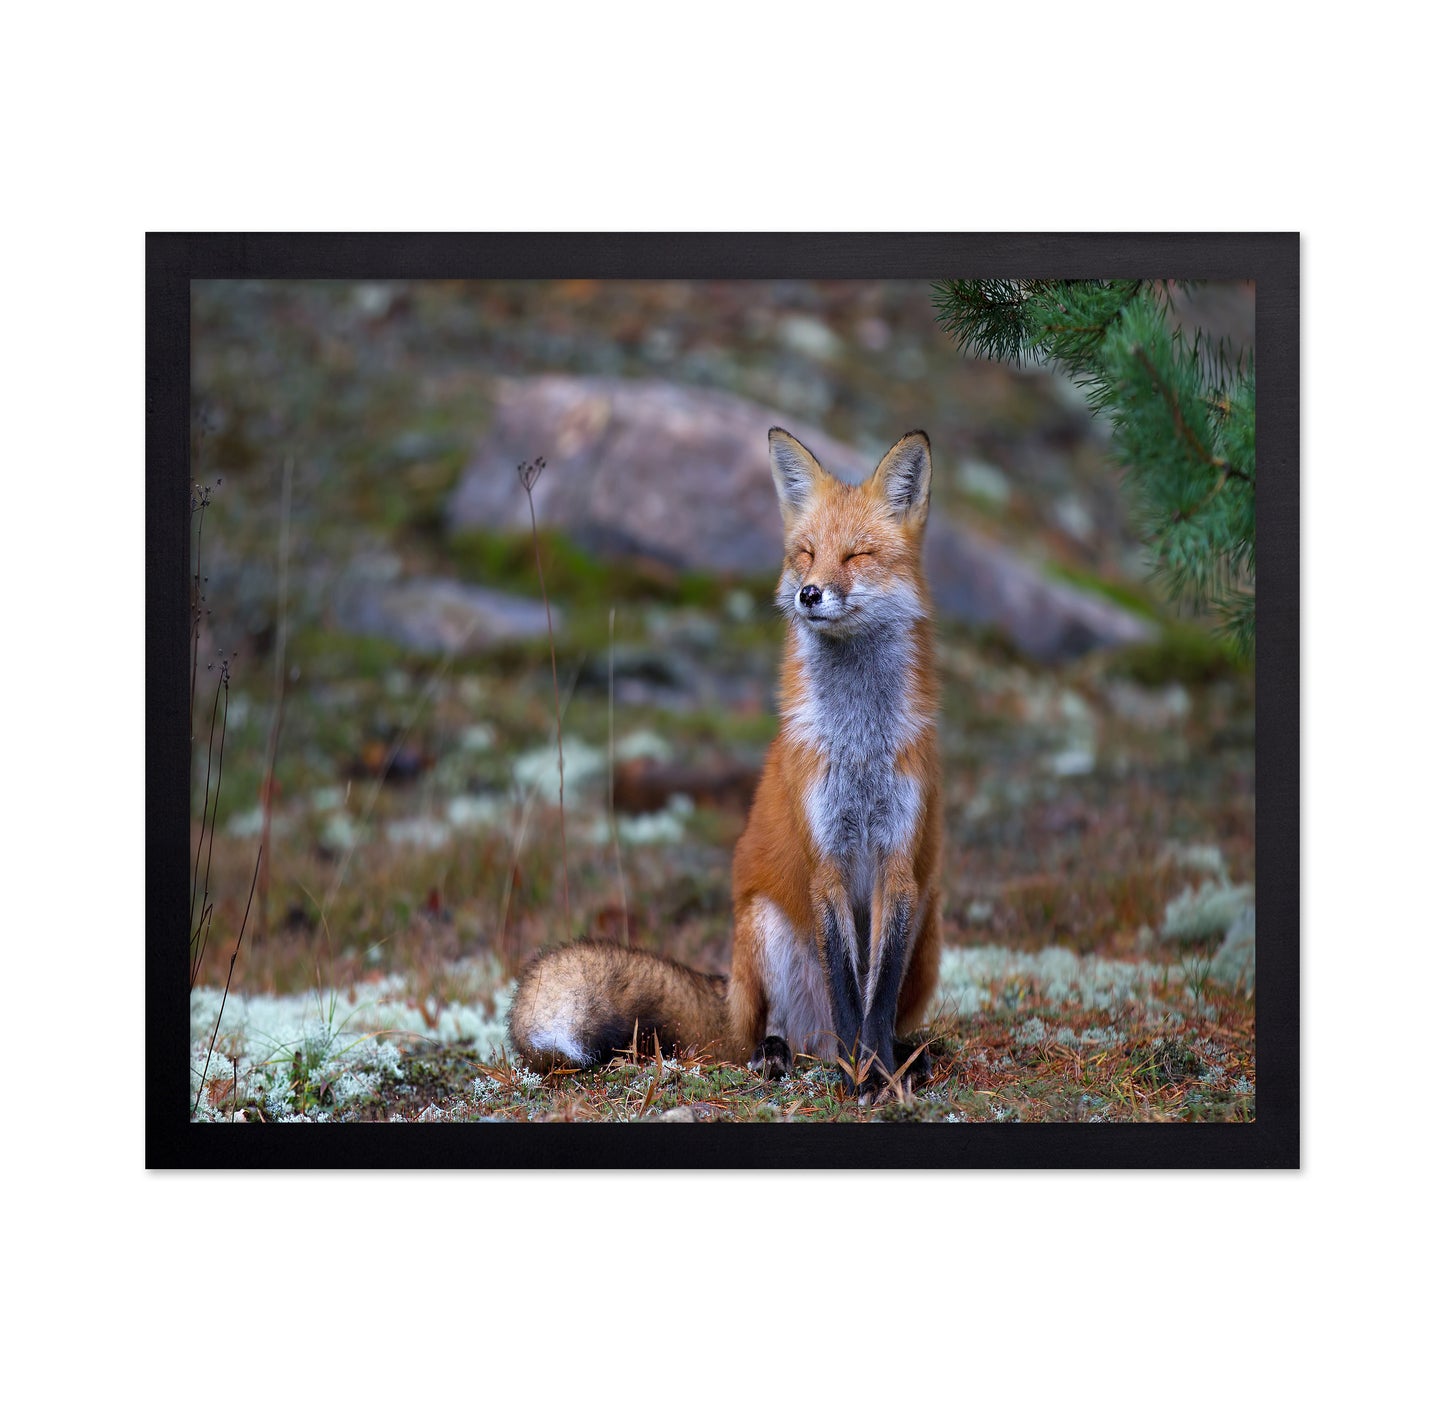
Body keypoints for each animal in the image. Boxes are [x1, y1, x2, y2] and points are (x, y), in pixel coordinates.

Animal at [509, 427, 942, 1099]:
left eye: (857, 556)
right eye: (806, 554)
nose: (809, 593)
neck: (858, 745)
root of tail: (730, 995)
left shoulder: (898, 863)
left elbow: (876, 995)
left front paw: (878, 1072)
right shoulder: (825, 860)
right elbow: (849, 994)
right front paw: (859, 1075)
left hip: (928, 917)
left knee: (883, 1016)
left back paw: (905, 1055)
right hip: (763, 929)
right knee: (769, 1035)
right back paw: (783, 1054)